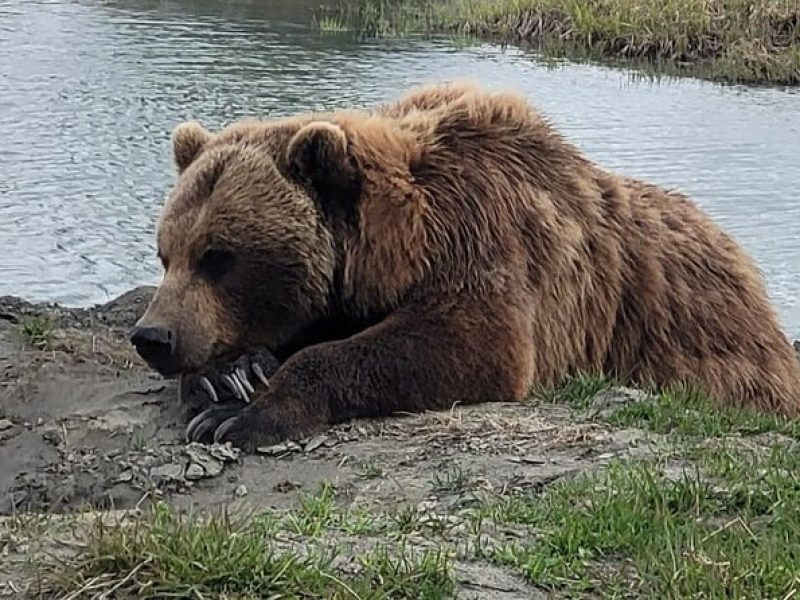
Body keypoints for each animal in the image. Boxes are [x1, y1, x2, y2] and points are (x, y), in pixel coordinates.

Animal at [130, 82, 800, 452]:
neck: (401, 241)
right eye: (167, 253)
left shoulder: (486, 235)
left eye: (220, 256)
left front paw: (240, 415)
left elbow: (466, 342)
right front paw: (230, 377)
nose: (152, 336)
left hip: (715, 353)